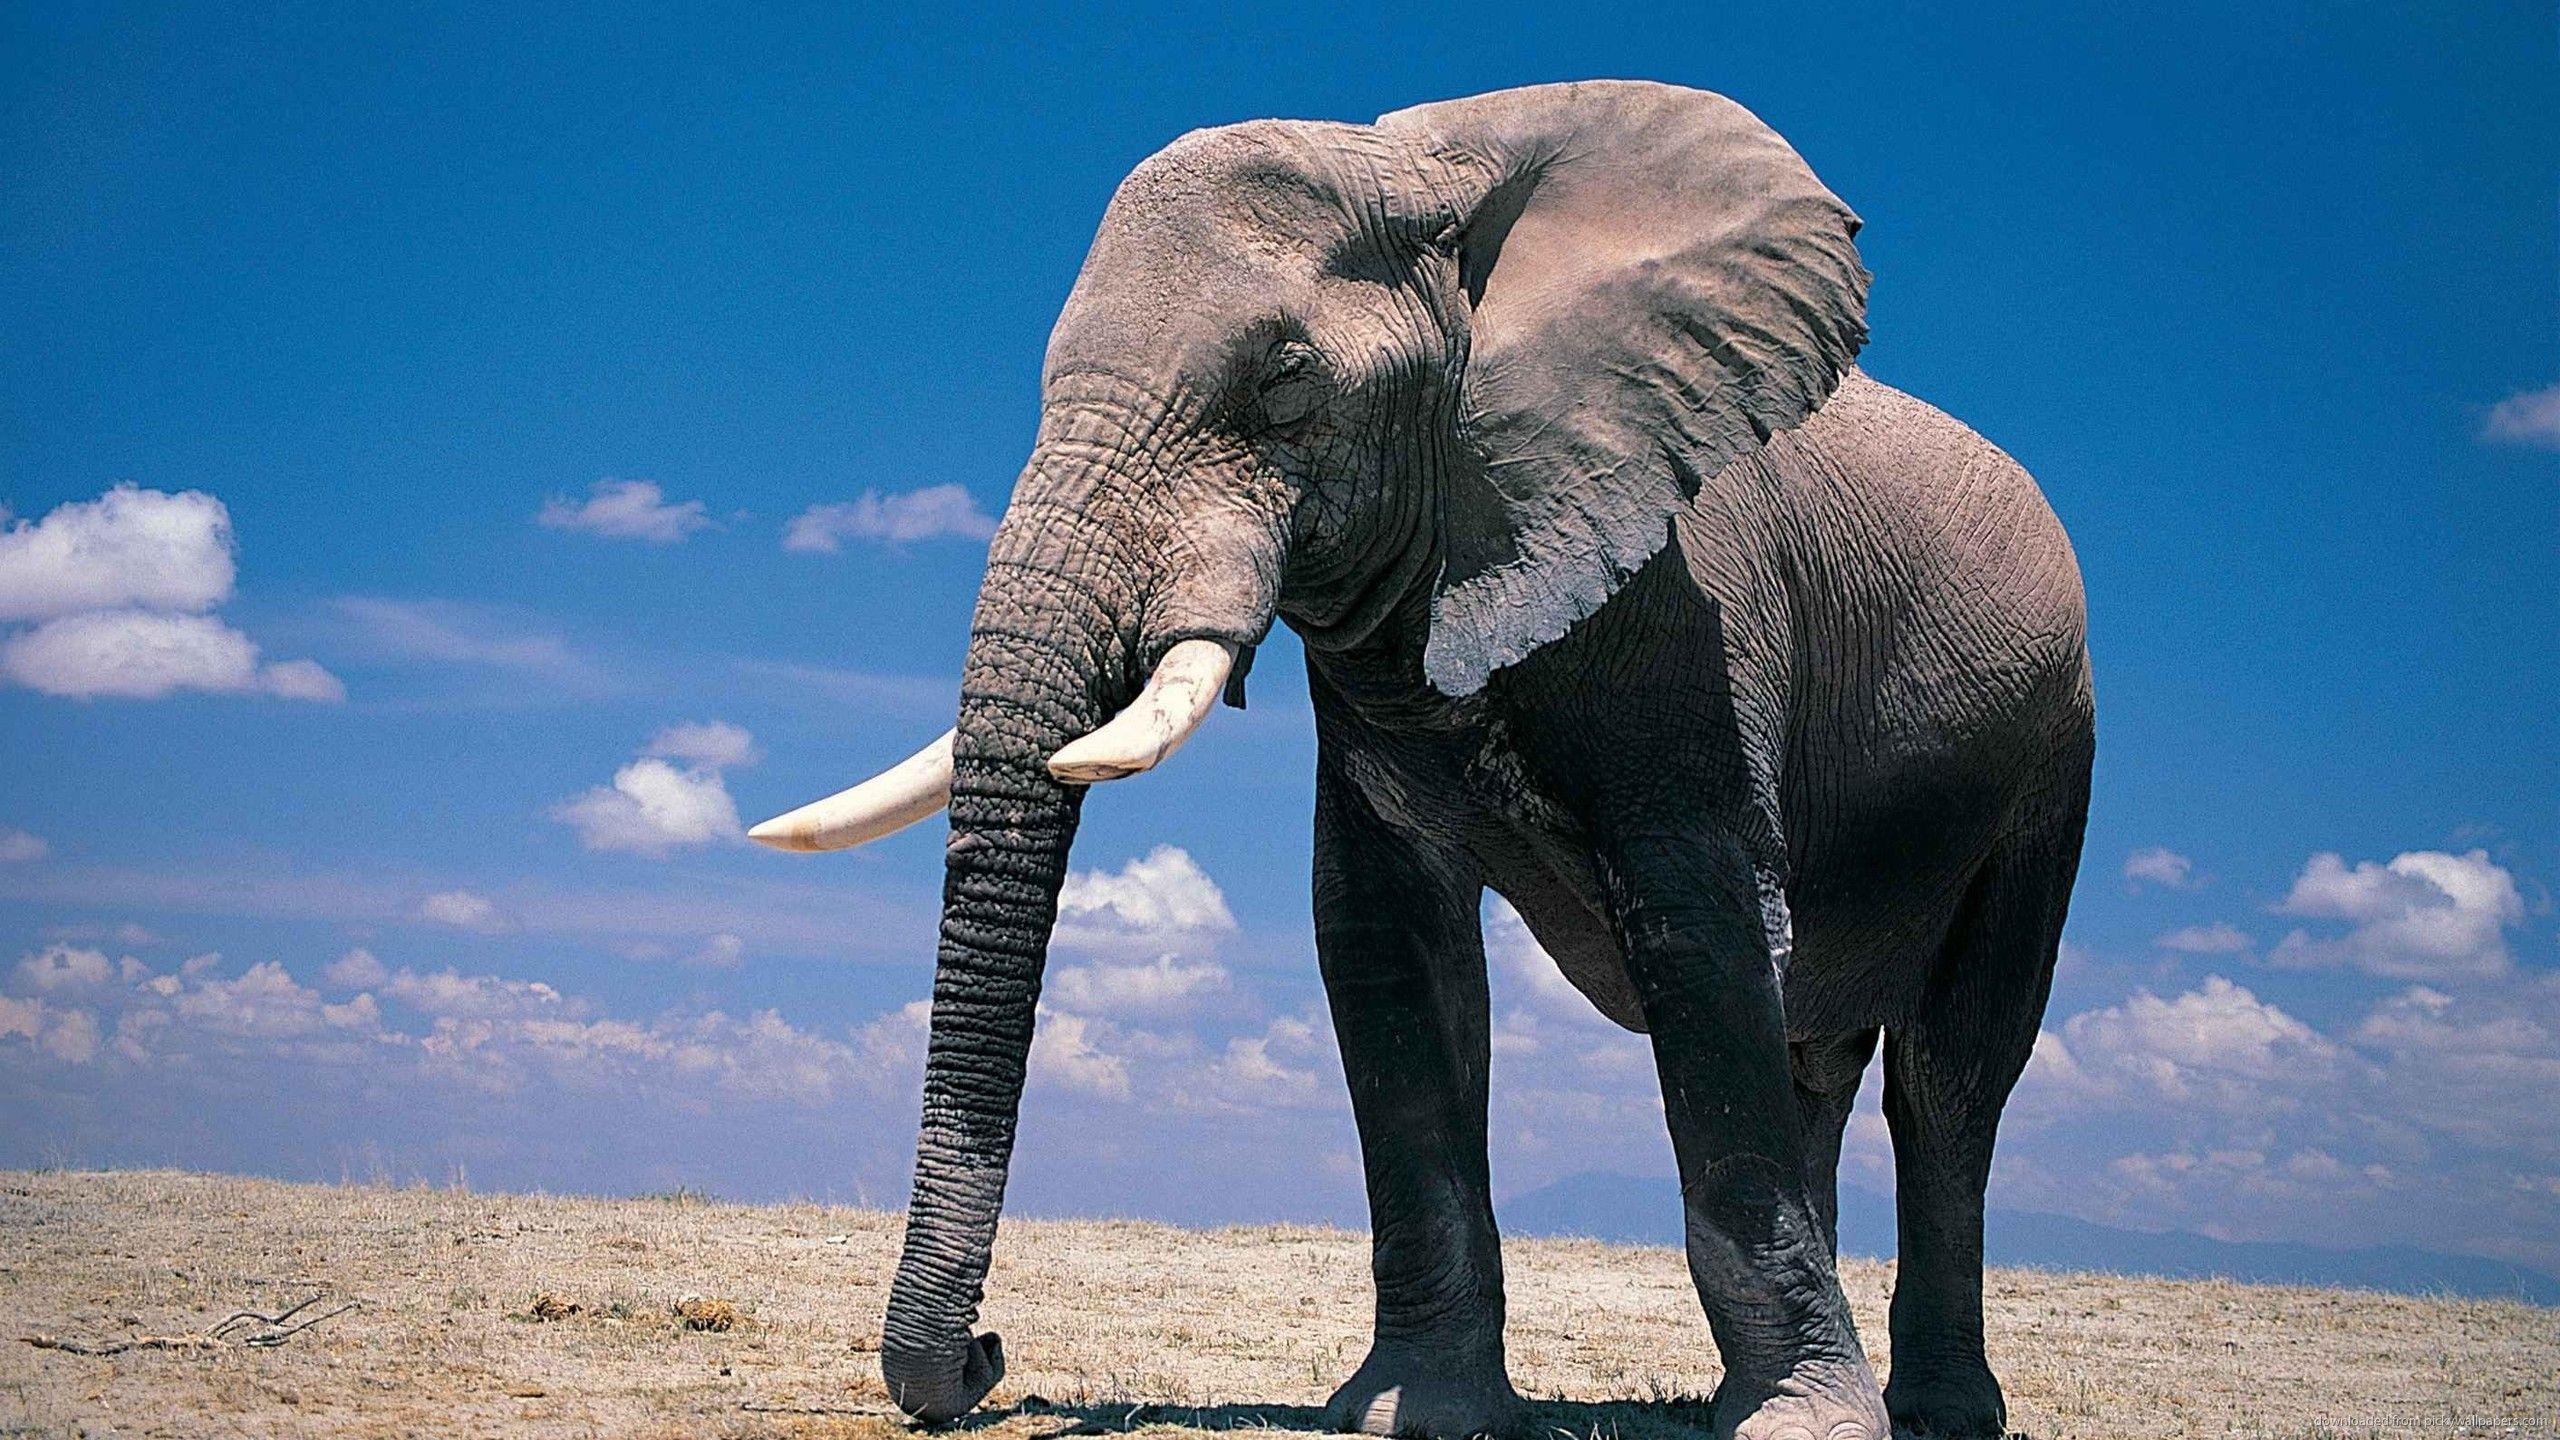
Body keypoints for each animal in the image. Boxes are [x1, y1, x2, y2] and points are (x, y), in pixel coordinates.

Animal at [750, 80, 2093, 1440]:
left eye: (1285, 382)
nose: (983, 1356)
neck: (1427, 168)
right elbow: (1388, 952)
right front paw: (1423, 1411)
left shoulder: (1697, 614)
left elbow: (1704, 944)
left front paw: (1799, 1430)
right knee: (1819, 1059)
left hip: (2051, 757)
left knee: (1949, 1076)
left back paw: (1931, 1412)